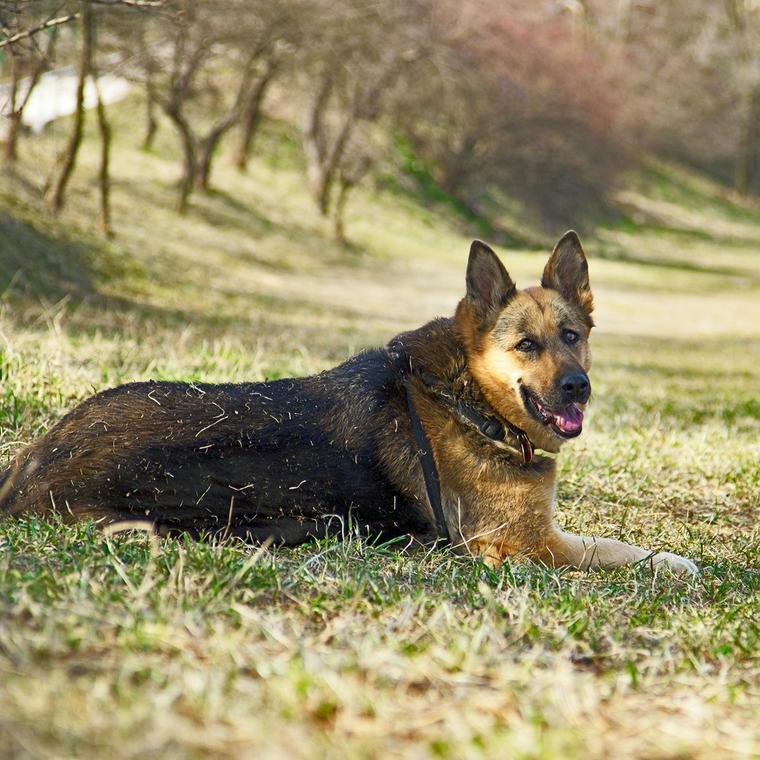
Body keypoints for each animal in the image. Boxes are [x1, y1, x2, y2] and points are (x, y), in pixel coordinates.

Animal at [0, 232, 700, 576]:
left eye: (573, 337)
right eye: (527, 345)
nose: (578, 386)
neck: (468, 399)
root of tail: (28, 467)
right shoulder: (528, 544)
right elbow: (619, 550)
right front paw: (677, 561)